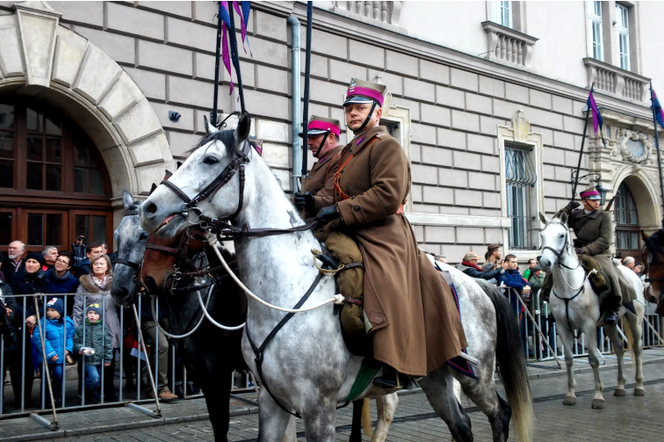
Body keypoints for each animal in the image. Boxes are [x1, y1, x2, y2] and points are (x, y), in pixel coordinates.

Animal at [139, 114, 536, 442]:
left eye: (210, 160)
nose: (150, 208)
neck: (284, 294)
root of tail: (478, 284)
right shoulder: (270, 402)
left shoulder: (318, 407)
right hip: (436, 378)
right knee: (462, 426)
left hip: (474, 375)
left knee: (500, 414)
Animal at [540, 211, 644, 408]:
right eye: (542, 235)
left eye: (562, 235)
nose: (544, 262)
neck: (568, 286)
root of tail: (631, 273)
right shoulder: (562, 327)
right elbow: (569, 359)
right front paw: (570, 394)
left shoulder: (588, 326)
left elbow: (594, 360)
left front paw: (598, 396)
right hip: (610, 324)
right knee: (619, 349)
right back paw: (620, 386)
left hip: (635, 319)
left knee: (637, 348)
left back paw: (639, 386)